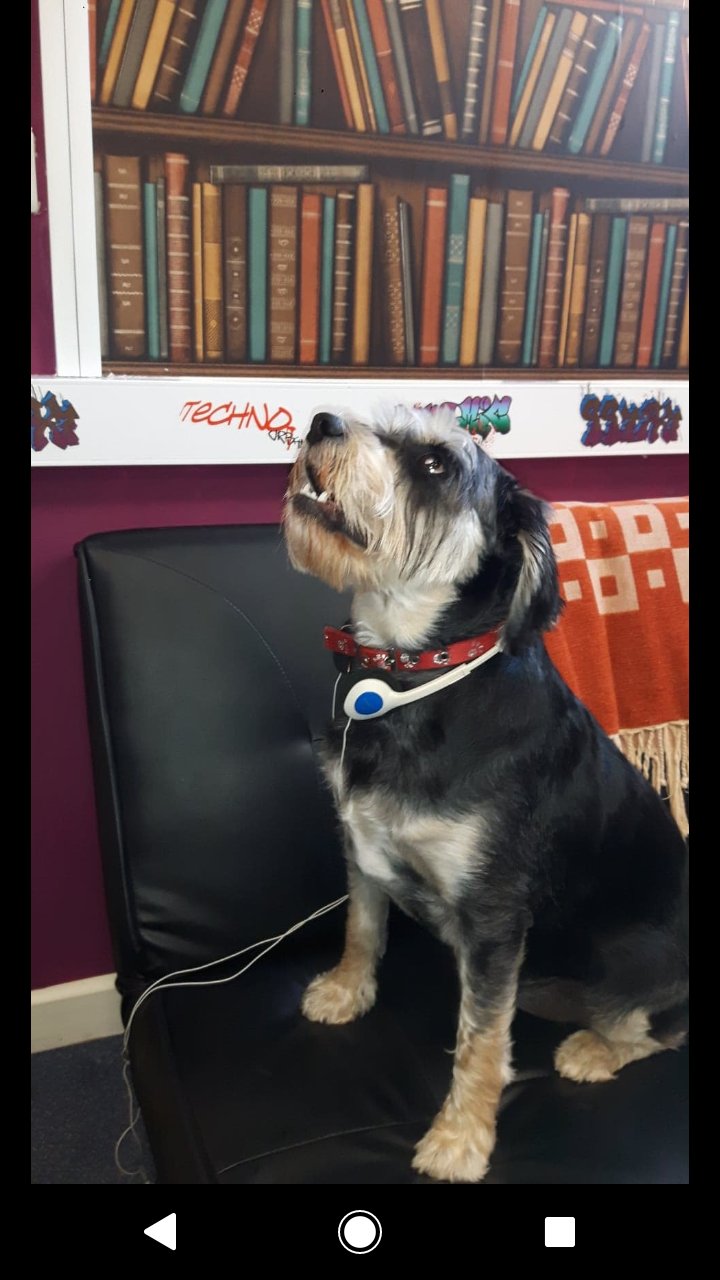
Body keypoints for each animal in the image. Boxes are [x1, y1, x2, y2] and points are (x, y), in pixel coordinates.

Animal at [282, 404, 689, 1184]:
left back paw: (594, 1049)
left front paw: (459, 1140)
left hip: (632, 959)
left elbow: (480, 1040)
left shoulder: (496, 917)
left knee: (660, 1025)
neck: (410, 675)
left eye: (436, 464)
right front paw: (347, 991)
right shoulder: (361, 843)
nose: (321, 422)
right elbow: (363, 927)